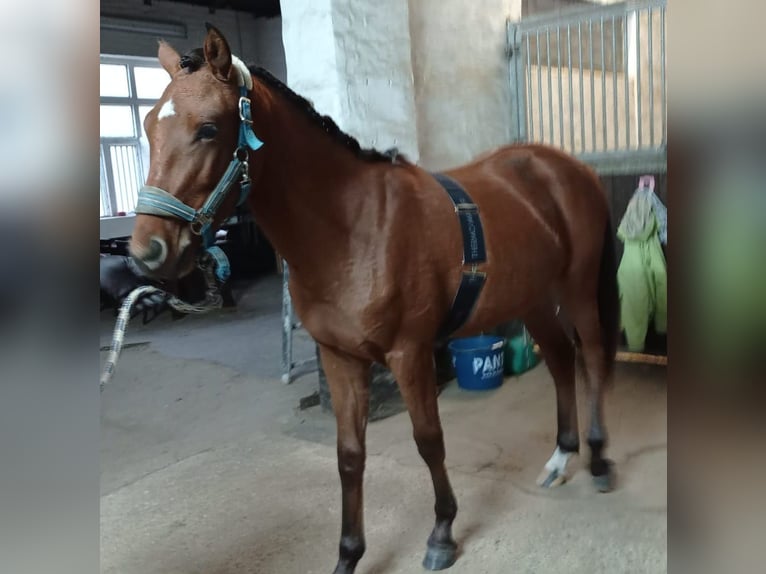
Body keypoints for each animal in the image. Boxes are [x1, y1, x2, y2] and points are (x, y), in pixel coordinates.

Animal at [130, 25, 624, 574]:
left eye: (209, 129)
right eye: (149, 126)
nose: (147, 251)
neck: (353, 226)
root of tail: (567, 167)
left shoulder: (410, 354)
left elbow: (429, 441)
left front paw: (442, 532)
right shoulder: (340, 359)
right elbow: (349, 456)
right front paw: (349, 554)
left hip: (577, 288)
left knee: (592, 357)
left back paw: (598, 460)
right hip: (532, 298)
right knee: (560, 360)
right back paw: (561, 457)